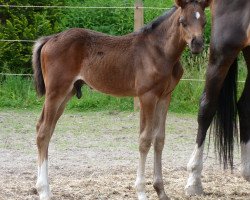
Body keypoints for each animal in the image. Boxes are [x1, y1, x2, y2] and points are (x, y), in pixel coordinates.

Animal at [32, 0, 210, 199]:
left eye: (204, 21)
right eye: (182, 21)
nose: (197, 43)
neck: (160, 51)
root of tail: (49, 39)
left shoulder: (165, 96)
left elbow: (159, 139)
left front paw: (161, 191)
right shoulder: (147, 96)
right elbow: (145, 140)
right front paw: (141, 191)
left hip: (67, 92)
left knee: (45, 128)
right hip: (56, 92)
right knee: (43, 132)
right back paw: (44, 191)